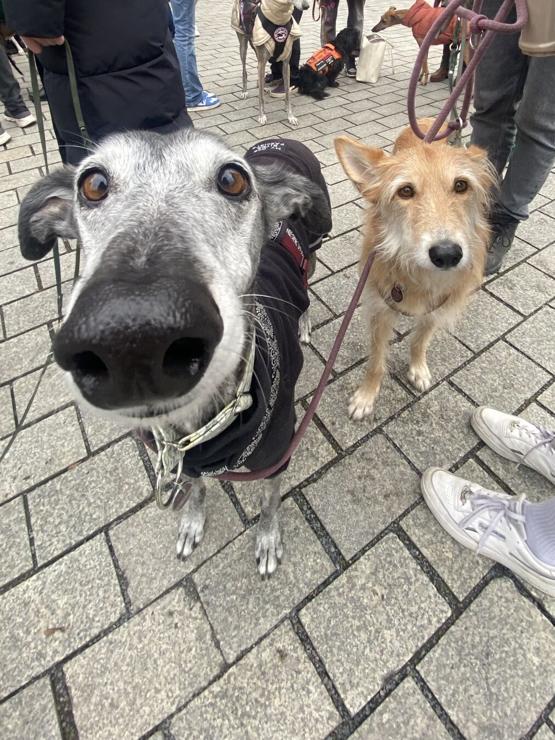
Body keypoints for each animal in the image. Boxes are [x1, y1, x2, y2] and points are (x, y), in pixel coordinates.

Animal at [17, 127, 330, 580]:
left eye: (233, 179)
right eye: (93, 184)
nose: (132, 333)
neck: (200, 423)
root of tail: (281, 141)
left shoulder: (276, 455)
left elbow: (270, 501)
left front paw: (269, 539)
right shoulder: (184, 461)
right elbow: (196, 490)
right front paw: (192, 523)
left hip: (313, 246)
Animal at [332, 122, 498, 422]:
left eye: (461, 185)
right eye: (405, 191)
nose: (447, 254)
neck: (419, 278)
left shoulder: (435, 311)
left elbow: (419, 343)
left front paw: (418, 369)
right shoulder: (380, 311)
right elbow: (376, 360)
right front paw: (366, 396)